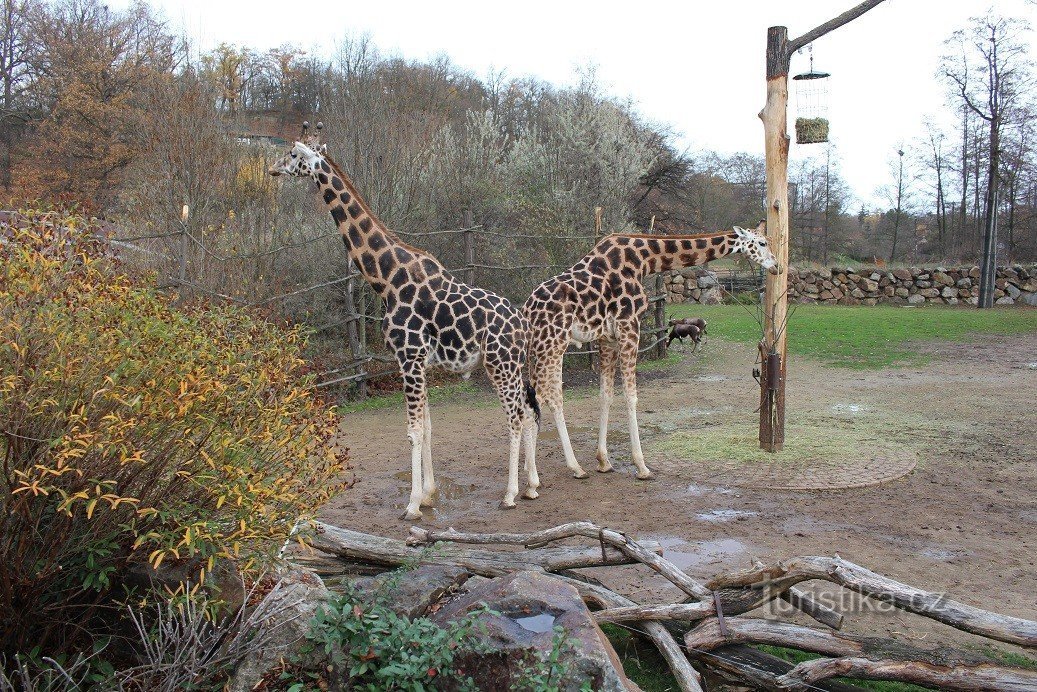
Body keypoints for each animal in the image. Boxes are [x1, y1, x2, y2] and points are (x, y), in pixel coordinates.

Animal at [267, 124, 543, 522]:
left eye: (292, 155)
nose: (271, 168)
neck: (386, 278)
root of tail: (523, 324)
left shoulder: (408, 357)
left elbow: (413, 431)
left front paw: (411, 505)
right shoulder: (420, 362)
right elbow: (427, 427)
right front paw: (428, 494)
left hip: (499, 365)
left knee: (516, 417)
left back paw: (510, 494)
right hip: (515, 365)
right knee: (532, 411)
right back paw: (532, 485)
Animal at [526, 223, 779, 481]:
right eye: (762, 243)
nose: (776, 266)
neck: (645, 259)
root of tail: (527, 310)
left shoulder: (608, 338)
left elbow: (606, 395)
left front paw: (604, 461)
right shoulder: (629, 327)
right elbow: (631, 396)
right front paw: (641, 466)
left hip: (540, 348)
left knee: (533, 396)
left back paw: (534, 471)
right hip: (553, 344)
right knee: (548, 397)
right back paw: (560, 470)